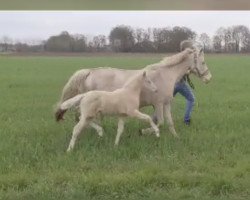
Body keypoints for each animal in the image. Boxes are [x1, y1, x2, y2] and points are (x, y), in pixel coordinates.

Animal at [55, 43, 212, 138]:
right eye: (203, 62)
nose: (209, 78)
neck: (165, 75)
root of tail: (89, 72)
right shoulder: (158, 104)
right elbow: (160, 122)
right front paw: (144, 131)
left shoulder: (166, 104)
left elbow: (169, 122)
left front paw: (176, 137)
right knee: (80, 117)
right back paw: (99, 131)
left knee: (80, 117)